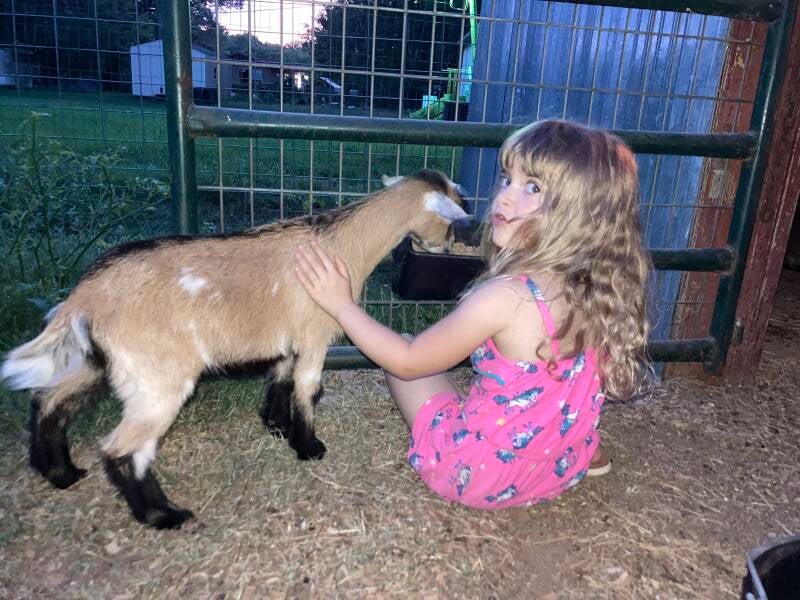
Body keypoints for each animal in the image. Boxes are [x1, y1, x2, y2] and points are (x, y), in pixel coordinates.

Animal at [1, 170, 468, 529]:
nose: (448, 247)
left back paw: (59, 472)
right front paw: (308, 446)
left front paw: (276, 425)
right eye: (451, 222)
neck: (341, 242)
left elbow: (281, 378)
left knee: (49, 399)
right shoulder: (314, 336)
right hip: (157, 377)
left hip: (101, 360)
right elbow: (308, 389)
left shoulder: (287, 338)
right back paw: (163, 515)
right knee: (123, 448)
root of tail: (86, 295)